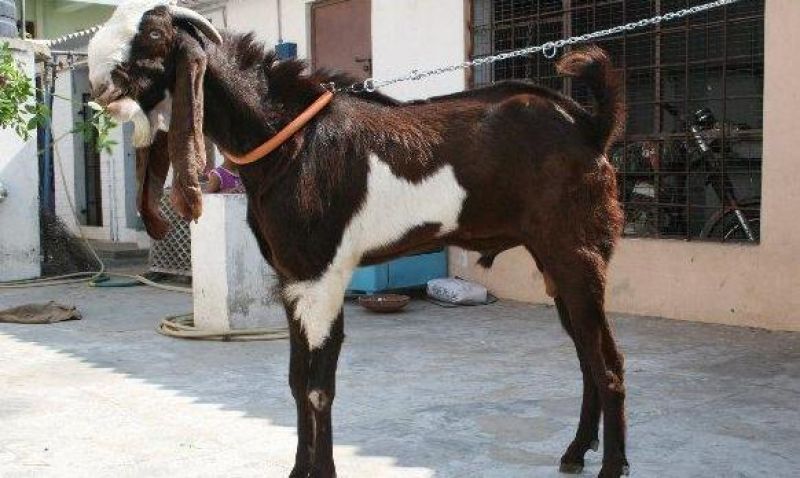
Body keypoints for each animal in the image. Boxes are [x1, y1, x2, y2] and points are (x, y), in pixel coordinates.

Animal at [88, 3, 628, 477]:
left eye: (152, 35)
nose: (98, 84)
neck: (289, 139)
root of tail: (590, 126)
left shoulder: (323, 275)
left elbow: (317, 386)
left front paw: (320, 471)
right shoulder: (293, 278)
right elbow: (295, 381)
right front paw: (297, 470)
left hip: (579, 253)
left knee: (609, 366)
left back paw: (611, 466)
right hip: (555, 262)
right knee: (588, 358)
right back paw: (575, 452)